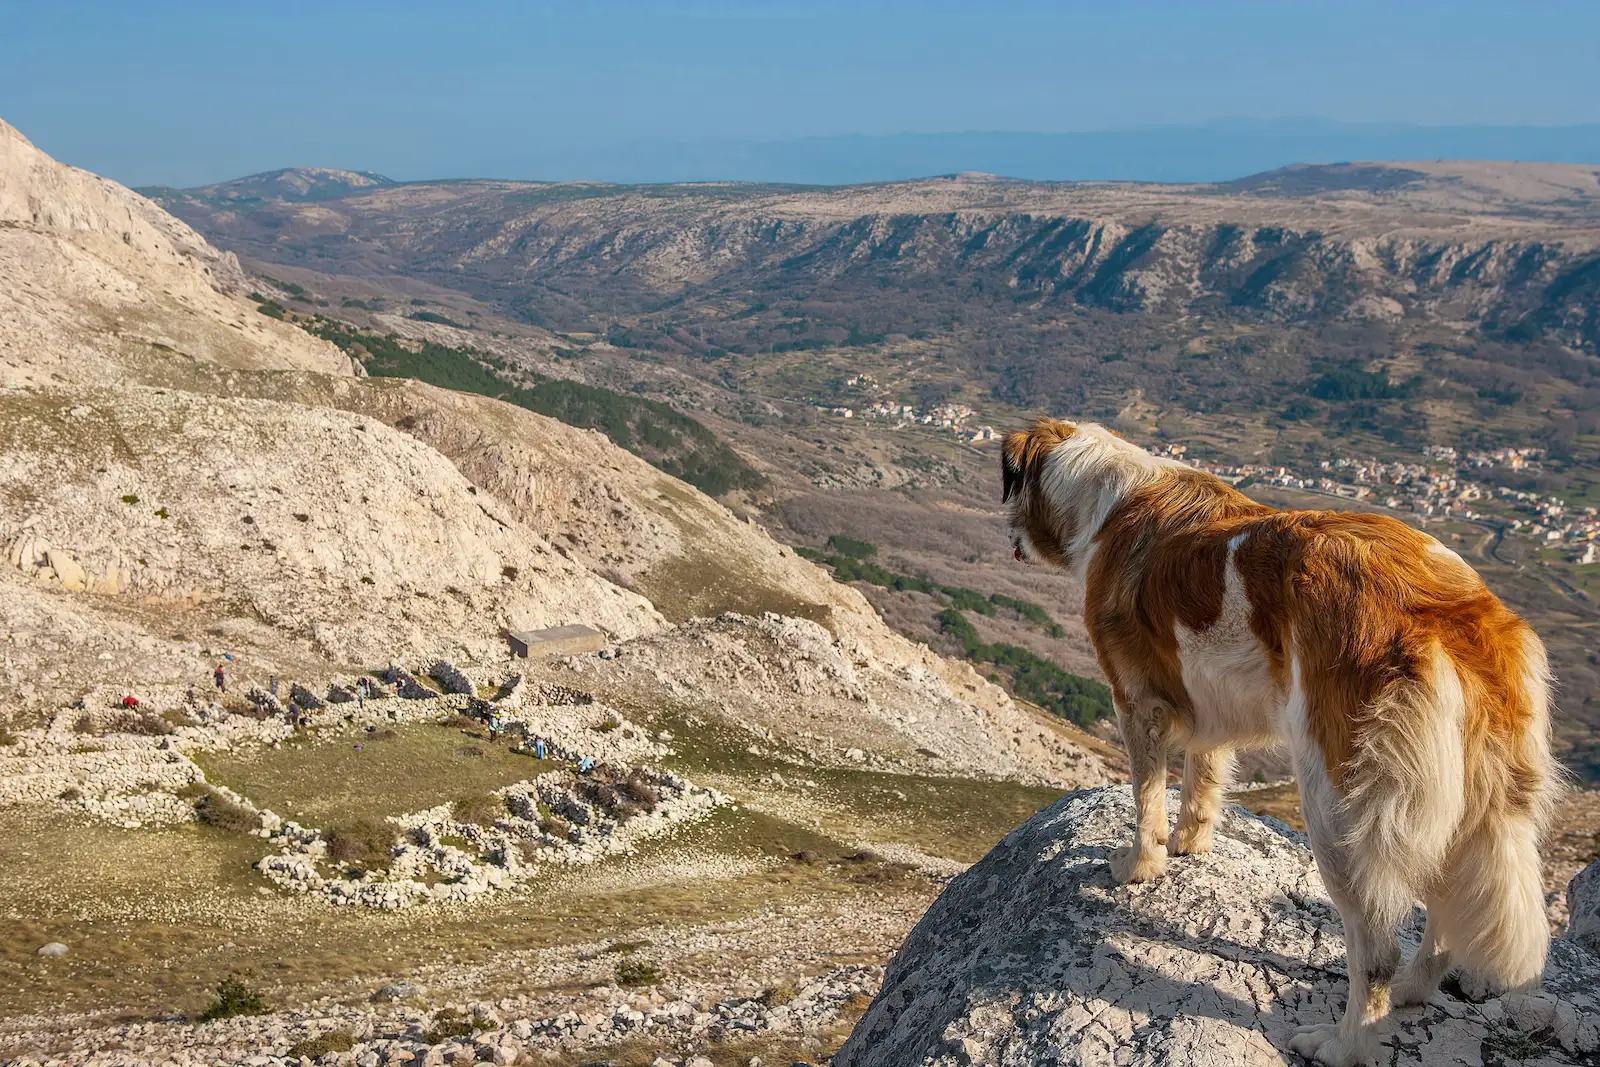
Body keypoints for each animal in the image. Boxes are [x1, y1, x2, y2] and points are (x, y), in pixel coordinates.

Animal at [1004, 419, 1555, 1067]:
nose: (1008, 532)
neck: (1103, 497)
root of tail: (1450, 611)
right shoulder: (1209, 704)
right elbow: (1202, 780)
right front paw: (1190, 844)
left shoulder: (1137, 704)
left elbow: (1146, 800)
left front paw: (1138, 867)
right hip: (1459, 804)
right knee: (1443, 917)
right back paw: (1414, 991)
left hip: (1340, 808)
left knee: (1376, 950)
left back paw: (1343, 1043)